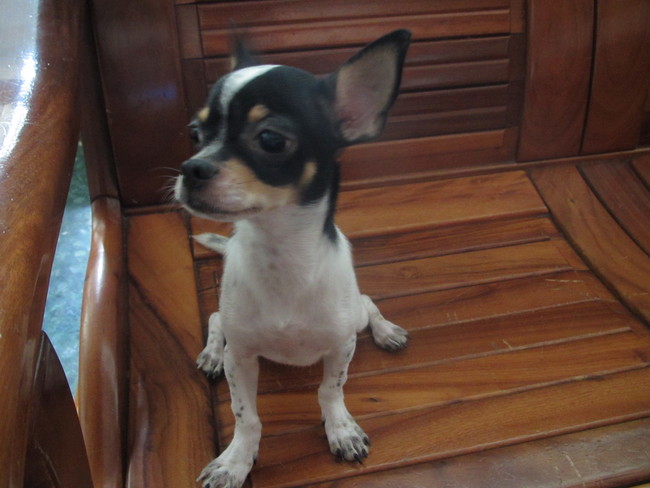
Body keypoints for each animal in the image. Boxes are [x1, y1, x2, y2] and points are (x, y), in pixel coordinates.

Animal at [175, 29, 411, 488]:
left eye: (271, 140)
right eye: (195, 133)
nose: (190, 168)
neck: (280, 255)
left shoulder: (341, 345)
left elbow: (330, 390)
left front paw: (340, 430)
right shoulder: (241, 357)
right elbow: (245, 416)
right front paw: (236, 460)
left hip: (355, 316)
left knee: (368, 303)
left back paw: (386, 330)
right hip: (230, 330)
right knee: (215, 319)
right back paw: (210, 354)